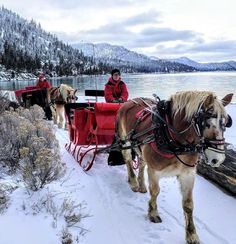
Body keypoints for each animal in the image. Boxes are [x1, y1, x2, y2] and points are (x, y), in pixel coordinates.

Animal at [111, 91, 233, 244]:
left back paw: (142, 185)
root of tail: (130, 101)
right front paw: (153, 213)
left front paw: (192, 234)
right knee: (128, 159)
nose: (218, 159)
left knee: (142, 163)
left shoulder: (188, 174)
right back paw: (133, 182)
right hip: (125, 140)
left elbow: (188, 204)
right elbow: (155, 192)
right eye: (207, 123)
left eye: (226, 123)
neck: (173, 139)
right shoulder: (154, 171)